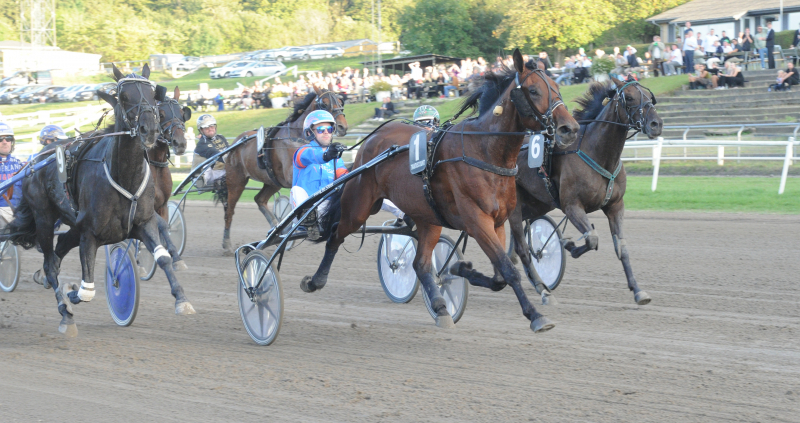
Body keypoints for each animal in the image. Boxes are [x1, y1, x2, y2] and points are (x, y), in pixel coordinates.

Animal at [1, 64, 194, 337]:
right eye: (124, 96)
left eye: (152, 93)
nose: (150, 130)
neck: (124, 175)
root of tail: (35, 160)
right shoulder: (90, 233)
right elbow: (87, 290)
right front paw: (72, 296)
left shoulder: (144, 222)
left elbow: (163, 256)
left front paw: (181, 299)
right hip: (45, 219)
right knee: (51, 264)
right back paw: (64, 312)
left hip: (72, 225)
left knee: (59, 251)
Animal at [222, 84, 347, 253]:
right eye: (325, 104)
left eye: (340, 101)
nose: (342, 126)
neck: (297, 136)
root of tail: (236, 142)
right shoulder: (290, 175)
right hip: (236, 180)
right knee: (229, 210)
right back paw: (227, 243)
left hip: (272, 182)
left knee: (259, 199)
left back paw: (276, 229)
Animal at [302, 49, 580, 332]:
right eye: (533, 91)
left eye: (556, 87)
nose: (569, 128)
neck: (485, 151)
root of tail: (373, 138)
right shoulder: (477, 221)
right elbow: (508, 270)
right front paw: (535, 316)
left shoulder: (499, 221)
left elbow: (501, 274)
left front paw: (461, 270)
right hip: (359, 206)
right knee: (335, 235)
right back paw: (315, 280)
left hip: (428, 216)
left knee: (420, 264)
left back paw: (441, 307)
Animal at [508, 77, 663, 306]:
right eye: (629, 97)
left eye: (648, 95)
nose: (656, 124)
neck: (597, 152)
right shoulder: (572, 206)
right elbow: (592, 238)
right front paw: (570, 245)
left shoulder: (615, 206)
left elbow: (622, 247)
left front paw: (637, 290)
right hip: (516, 204)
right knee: (520, 244)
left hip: (537, 203)